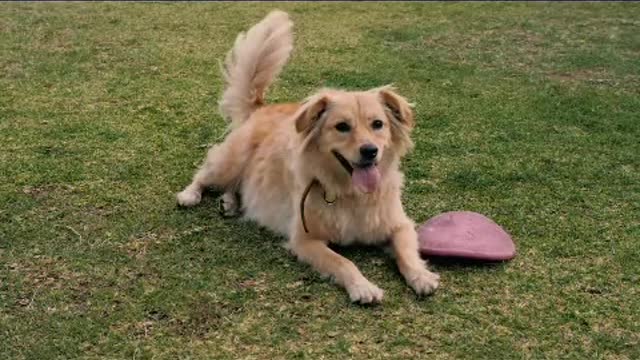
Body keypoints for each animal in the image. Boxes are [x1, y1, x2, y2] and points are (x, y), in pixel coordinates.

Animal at [178, 10, 442, 304]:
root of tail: (261, 108)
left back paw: (231, 202)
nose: (370, 151)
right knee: (204, 174)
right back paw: (190, 194)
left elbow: (406, 253)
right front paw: (362, 286)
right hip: (230, 162)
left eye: (378, 124)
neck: (350, 194)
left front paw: (421, 276)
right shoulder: (306, 240)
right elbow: (343, 262)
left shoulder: (399, 225)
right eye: (342, 127)